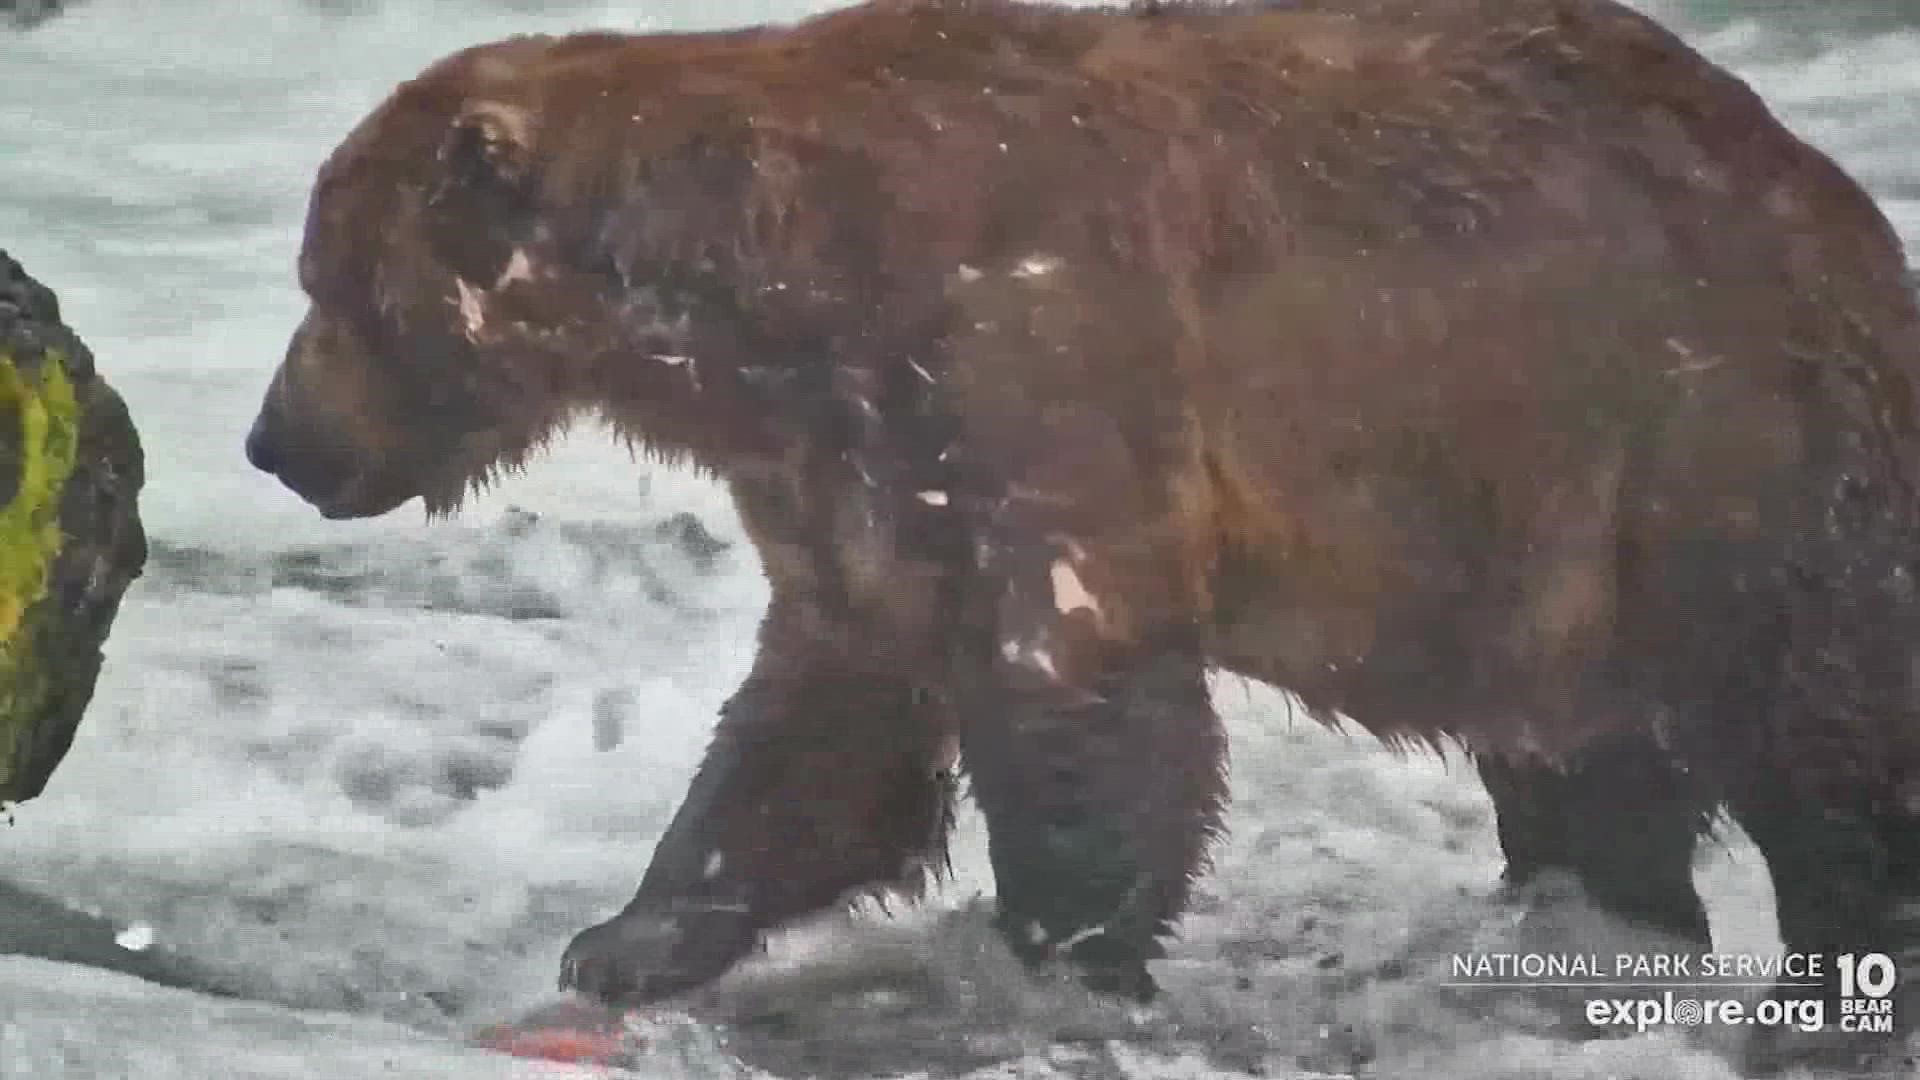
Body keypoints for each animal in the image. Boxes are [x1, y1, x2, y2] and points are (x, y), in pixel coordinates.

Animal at [243, 0, 1920, 1060]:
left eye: (332, 284)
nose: (275, 442)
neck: (770, 299)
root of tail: (1835, 200)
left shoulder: (1029, 357)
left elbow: (1085, 701)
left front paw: (1049, 958)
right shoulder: (851, 471)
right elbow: (826, 713)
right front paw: (634, 929)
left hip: (1705, 444)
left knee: (1816, 731)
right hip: (1547, 540)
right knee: (1592, 771)